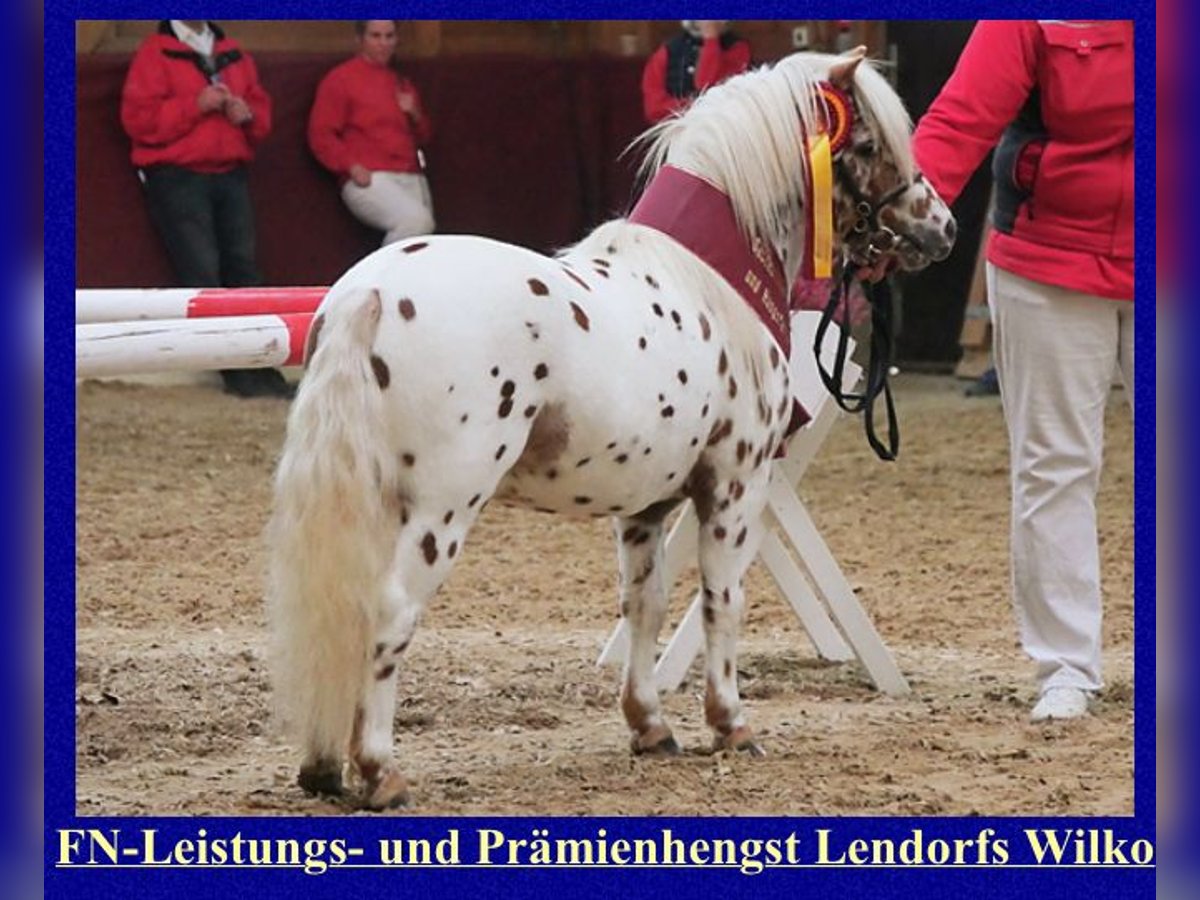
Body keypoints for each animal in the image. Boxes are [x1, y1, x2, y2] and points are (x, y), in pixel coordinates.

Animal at [267, 47, 950, 811]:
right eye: (869, 145)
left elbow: (643, 607)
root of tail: (372, 293)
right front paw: (731, 725)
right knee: (390, 613)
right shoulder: (736, 487)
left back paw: (325, 765)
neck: (708, 280)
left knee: (345, 607)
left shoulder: (644, 507)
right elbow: (723, 602)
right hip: (443, 509)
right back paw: (380, 770)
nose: (942, 228)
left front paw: (650, 727)